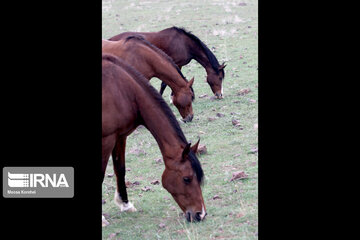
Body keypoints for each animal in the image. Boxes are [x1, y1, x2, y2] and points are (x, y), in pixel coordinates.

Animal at [102, 53, 207, 225]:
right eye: (187, 179)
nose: (200, 214)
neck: (123, 90)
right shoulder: (106, 139)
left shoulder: (119, 136)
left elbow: (120, 169)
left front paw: (126, 204)